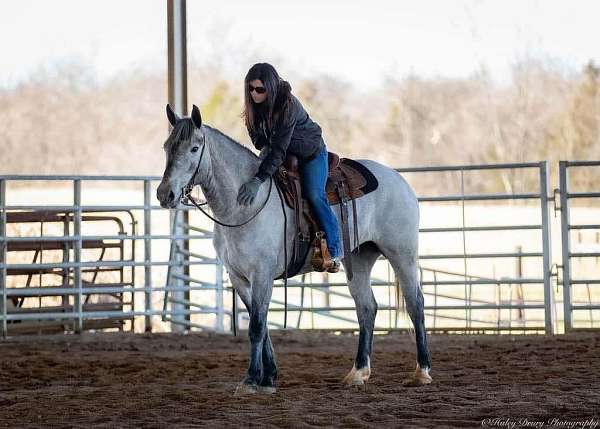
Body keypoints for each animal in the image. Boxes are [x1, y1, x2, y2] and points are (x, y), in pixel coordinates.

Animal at [157, 104, 434, 394]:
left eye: (194, 148)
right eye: (167, 146)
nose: (165, 194)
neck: (242, 206)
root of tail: (398, 178)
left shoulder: (262, 274)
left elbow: (257, 326)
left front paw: (251, 379)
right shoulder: (238, 277)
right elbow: (261, 323)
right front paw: (268, 377)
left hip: (402, 254)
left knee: (415, 304)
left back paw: (421, 372)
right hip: (359, 259)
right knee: (366, 308)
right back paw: (357, 372)